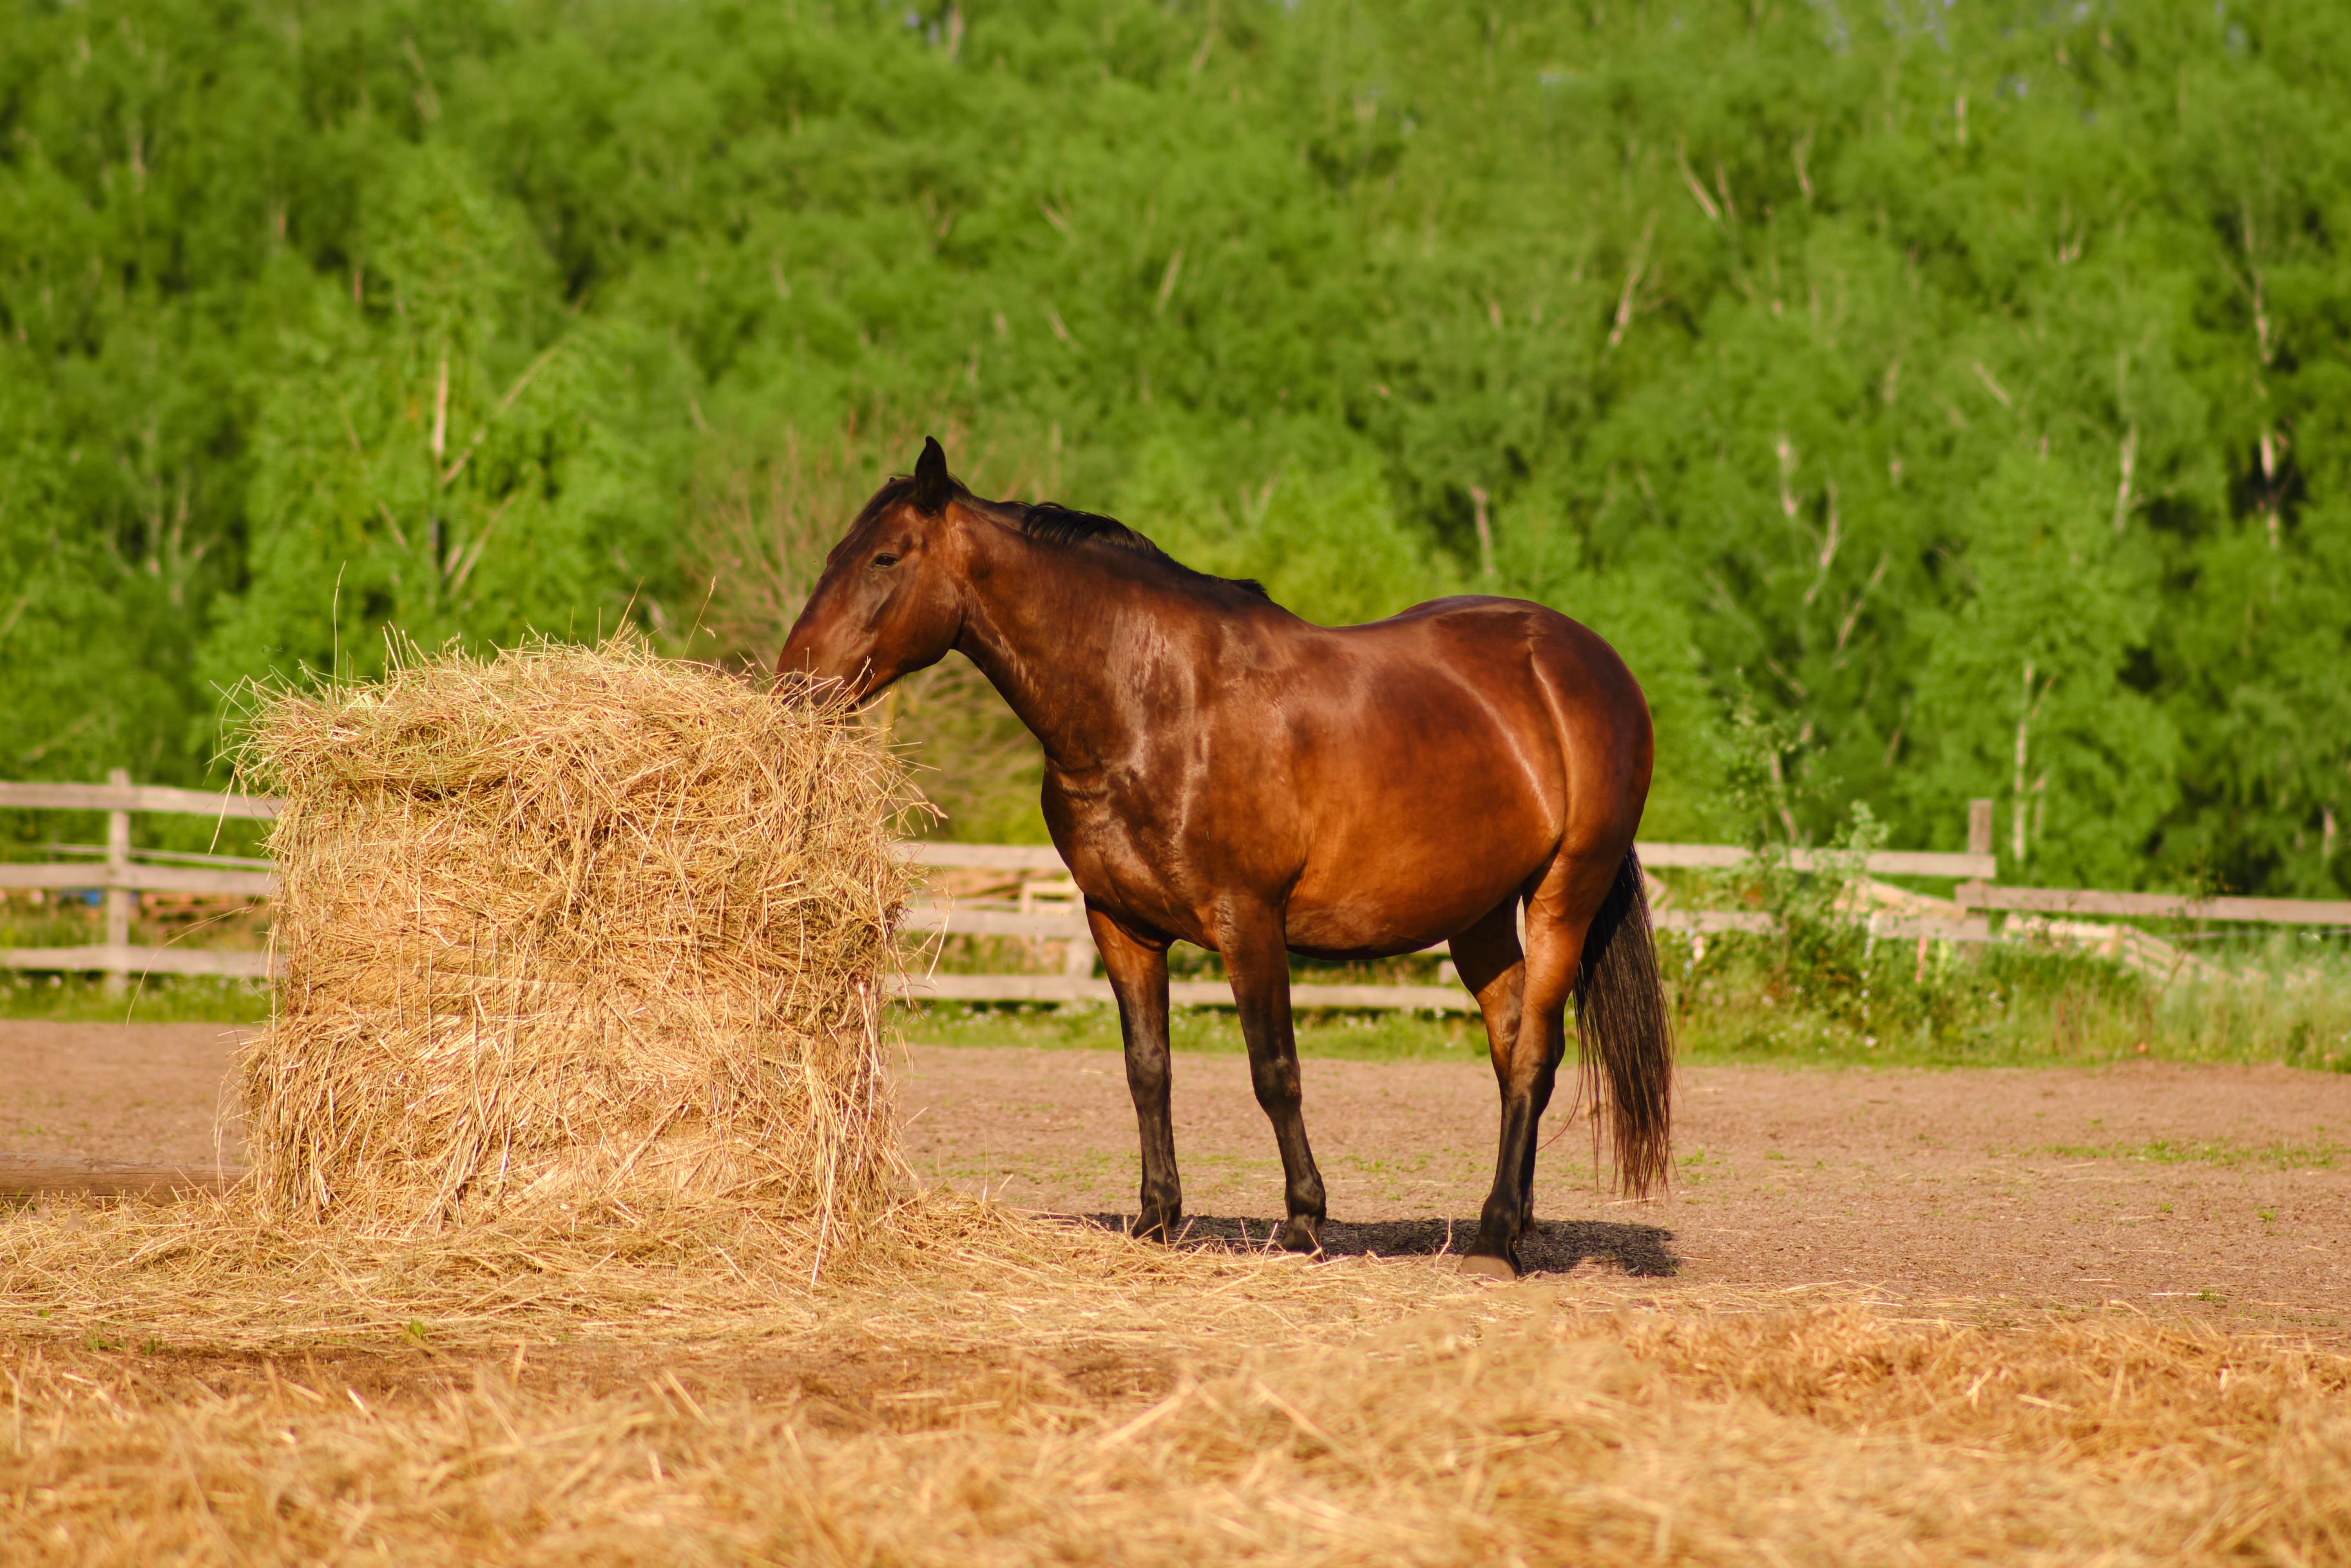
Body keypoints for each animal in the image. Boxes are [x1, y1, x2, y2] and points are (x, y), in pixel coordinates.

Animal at [778, 439, 1671, 1276]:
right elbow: (1148, 1068)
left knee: (1534, 1054)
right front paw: (1156, 1218)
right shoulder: (1118, 924)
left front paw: (1304, 1221)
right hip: (1477, 914)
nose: (794, 685)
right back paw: (1510, 1224)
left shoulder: (1249, 921)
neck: (1153, 703)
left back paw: (1491, 1239)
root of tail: (1584, 660)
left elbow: (1273, 1069)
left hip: (1563, 896)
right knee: (1512, 1044)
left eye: (885, 558)